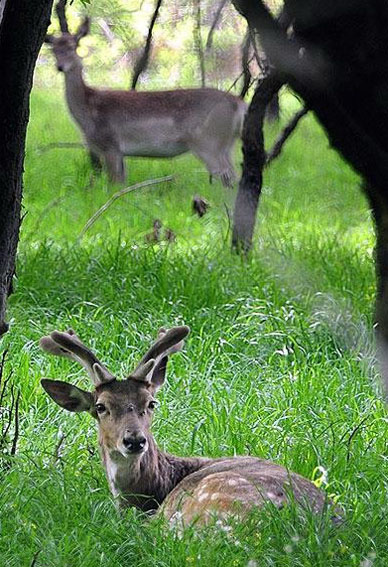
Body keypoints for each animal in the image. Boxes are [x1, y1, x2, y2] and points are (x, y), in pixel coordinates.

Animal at [44, 0, 247, 186]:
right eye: (54, 50)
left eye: (73, 46)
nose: (60, 66)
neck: (89, 111)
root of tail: (239, 104)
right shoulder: (118, 152)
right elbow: (121, 183)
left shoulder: (110, 144)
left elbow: (113, 185)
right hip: (225, 144)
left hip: (208, 140)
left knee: (229, 178)